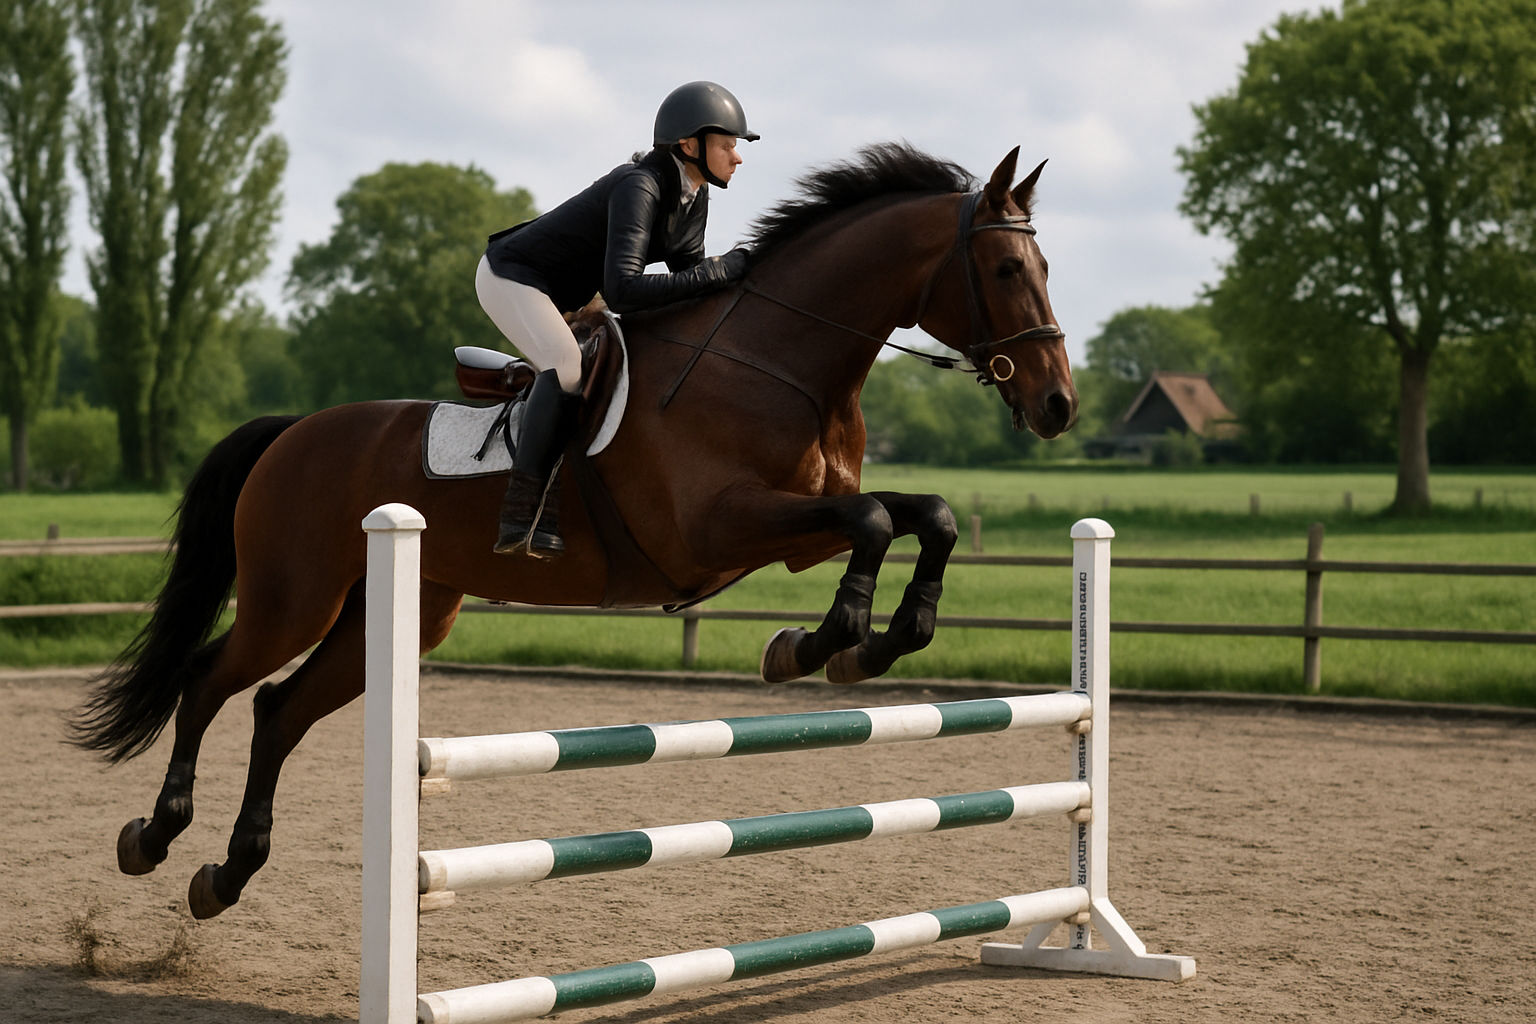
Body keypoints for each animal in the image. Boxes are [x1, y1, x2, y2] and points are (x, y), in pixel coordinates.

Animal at [69, 142, 1077, 920]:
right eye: (1004, 271)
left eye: (1045, 270)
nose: (1059, 406)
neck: (780, 363)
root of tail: (294, 431)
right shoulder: (718, 528)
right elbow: (874, 520)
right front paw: (815, 645)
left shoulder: (796, 532)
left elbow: (925, 516)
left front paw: (872, 643)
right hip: (294, 597)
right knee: (211, 681)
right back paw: (154, 836)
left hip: (399, 615)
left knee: (279, 711)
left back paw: (226, 875)